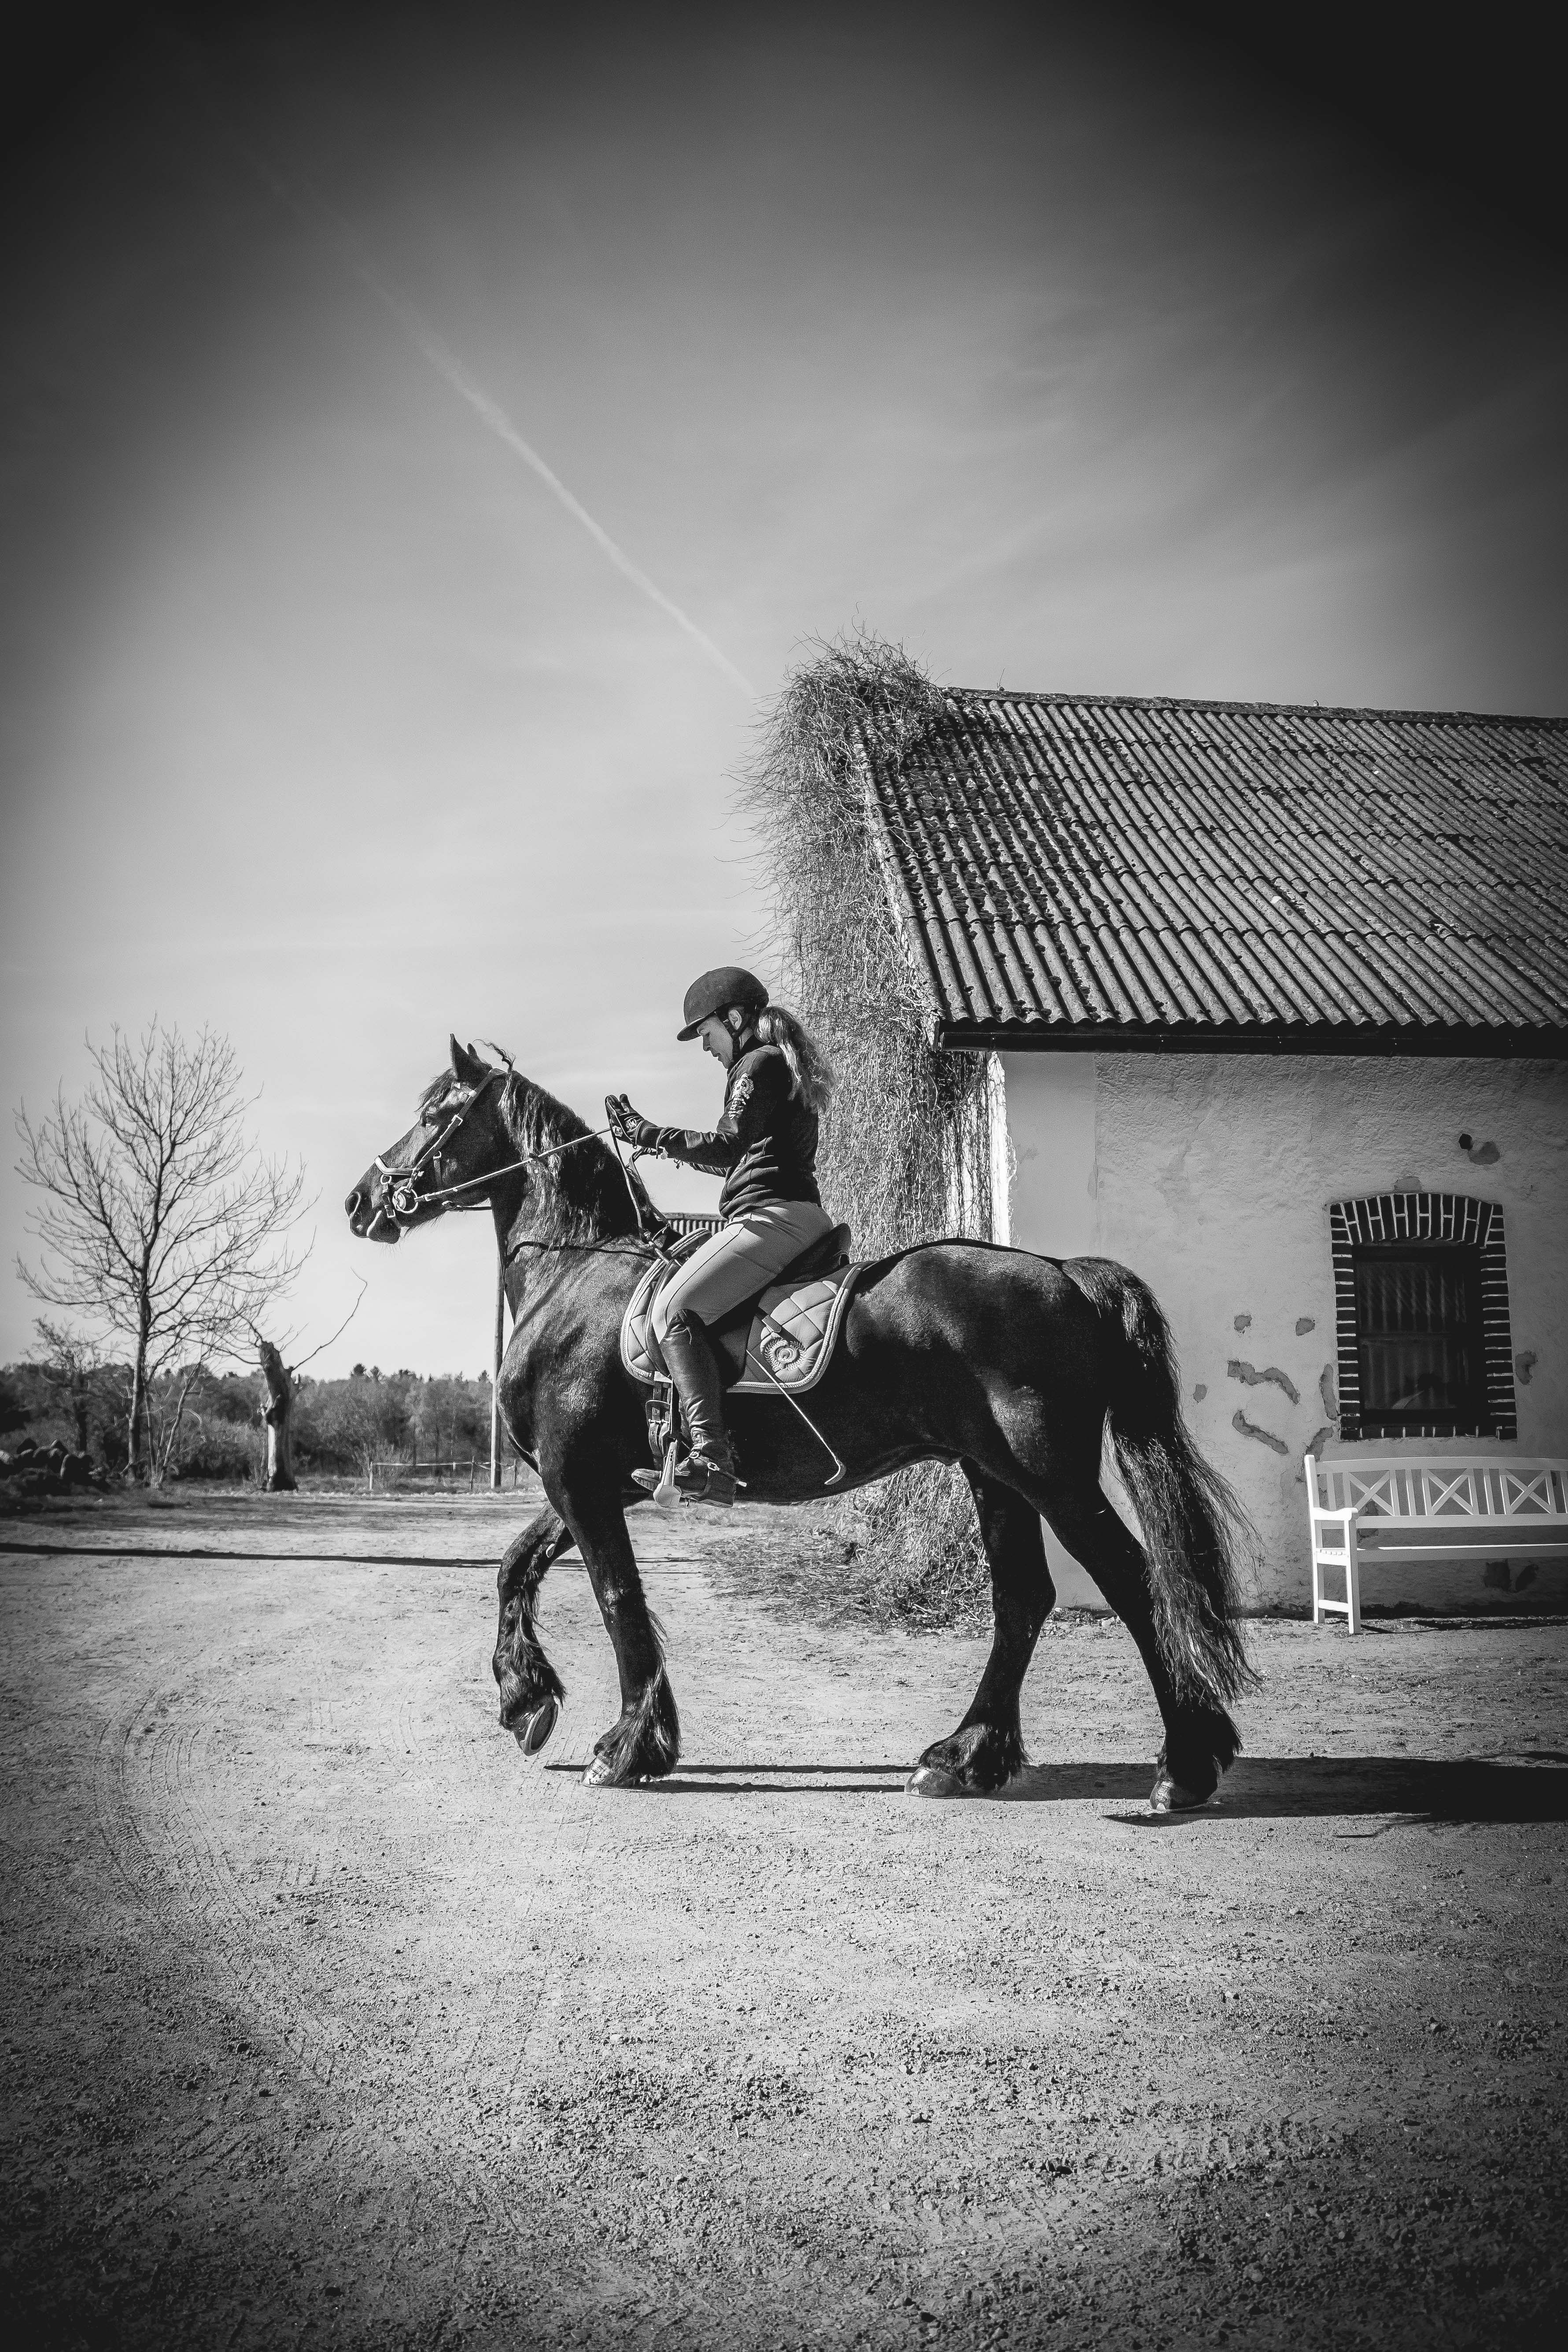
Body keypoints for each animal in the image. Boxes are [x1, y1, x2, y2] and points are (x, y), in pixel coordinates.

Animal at [350, 1039, 1260, 1806]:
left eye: (435, 1109)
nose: (364, 1202)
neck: (577, 1278)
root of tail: (1066, 1273)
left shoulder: (577, 1476)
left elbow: (616, 1595)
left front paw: (627, 1746)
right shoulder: (589, 1478)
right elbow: (516, 1566)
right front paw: (526, 1699)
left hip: (1050, 1476)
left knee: (1131, 1582)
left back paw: (1184, 1765)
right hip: (993, 1475)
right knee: (1022, 1599)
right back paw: (966, 1757)